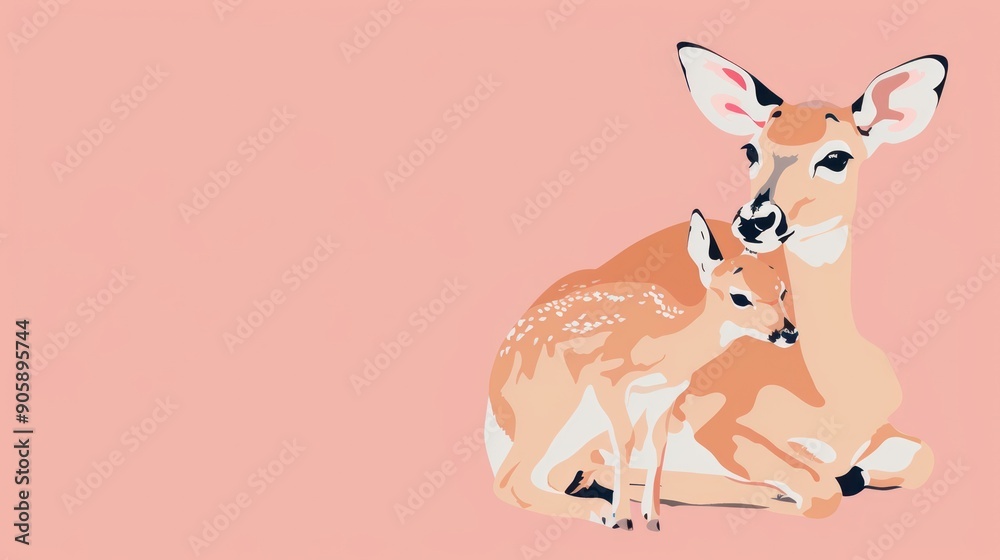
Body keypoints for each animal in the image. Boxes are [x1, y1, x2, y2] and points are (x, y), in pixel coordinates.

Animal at [487, 210, 798, 530]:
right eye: (739, 297)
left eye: (782, 290)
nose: (788, 333)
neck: (669, 347)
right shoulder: (609, 378)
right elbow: (625, 442)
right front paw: (624, 517)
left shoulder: (665, 394)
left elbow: (657, 446)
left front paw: (653, 518)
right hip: (548, 409)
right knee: (510, 481)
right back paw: (602, 510)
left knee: (554, 474)